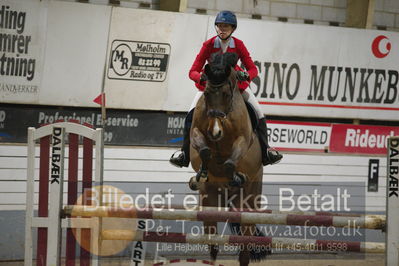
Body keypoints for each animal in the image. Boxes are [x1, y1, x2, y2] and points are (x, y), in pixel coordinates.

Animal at [188, 52, 268, 266]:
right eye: (207, 93)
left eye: (226, 94)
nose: (215, 132)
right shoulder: (196, 132)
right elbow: (204, 150)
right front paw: (202, 173)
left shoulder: (243, 140)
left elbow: (232, 161)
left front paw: (237, 176)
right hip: (210, 203)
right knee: (213, 243)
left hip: (248, 202)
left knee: (245, 247)